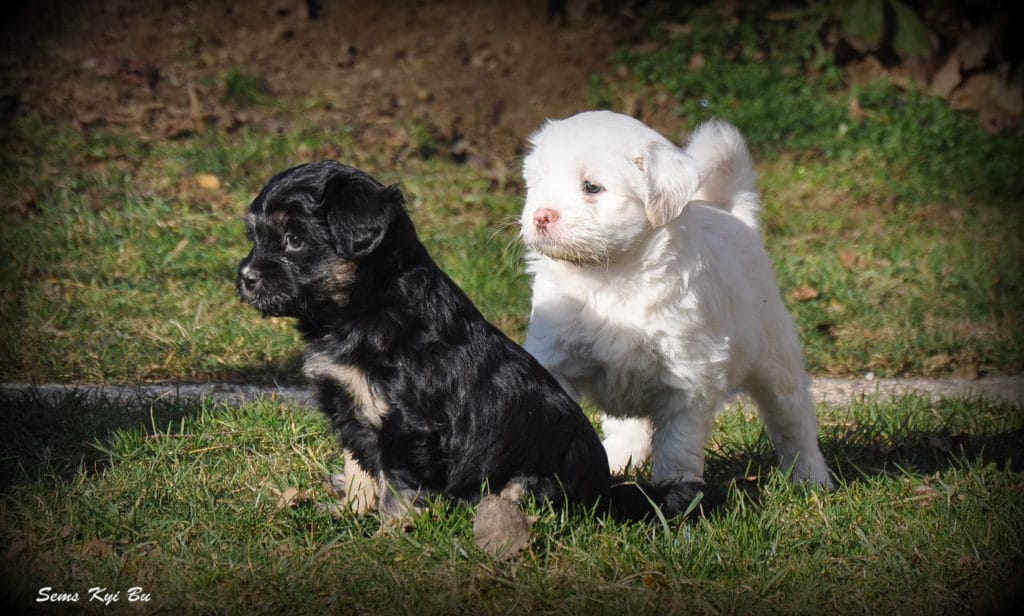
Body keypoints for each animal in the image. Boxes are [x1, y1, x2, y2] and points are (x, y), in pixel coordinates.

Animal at [237, 160, 718, 520]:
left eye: (295, 239)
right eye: (256, 237)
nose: (245, 277)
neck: (365, 307)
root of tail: (606, 493)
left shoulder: (408, 425)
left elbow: (400, 487)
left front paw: (391, 534)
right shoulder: (355, 410)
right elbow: (361, 468)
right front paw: (351, 513)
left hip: (534, 476)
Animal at [519, 110, 834, 489]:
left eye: (591, 187)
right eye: (538, 182)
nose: (541, 216)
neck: (611, 275)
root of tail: (732, 214)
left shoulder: (688, 378)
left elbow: (677, 445)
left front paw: (678, 490)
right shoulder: (555, 354)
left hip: (776, 358)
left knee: (794, 422)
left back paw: (811, 479)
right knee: (629, 429)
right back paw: (615, 462)